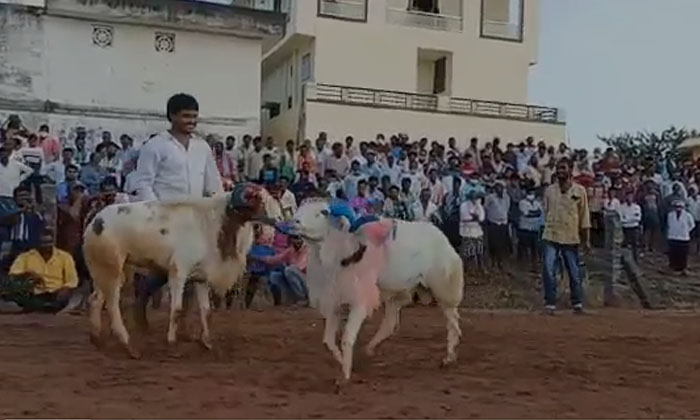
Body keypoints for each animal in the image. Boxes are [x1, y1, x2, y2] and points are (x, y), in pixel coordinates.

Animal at [292, 199, 464, 382]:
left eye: (324, 212)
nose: (294, 222)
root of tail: (442, 237)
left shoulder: (360, 301)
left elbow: (347, 338)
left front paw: (346, 376)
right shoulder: (333, 301)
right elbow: (328, 341)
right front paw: (342, 361)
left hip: (443, 287)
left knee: (452, 320)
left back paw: (449, 357)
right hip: (400, 291)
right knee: (390, 322)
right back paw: (370, 349)